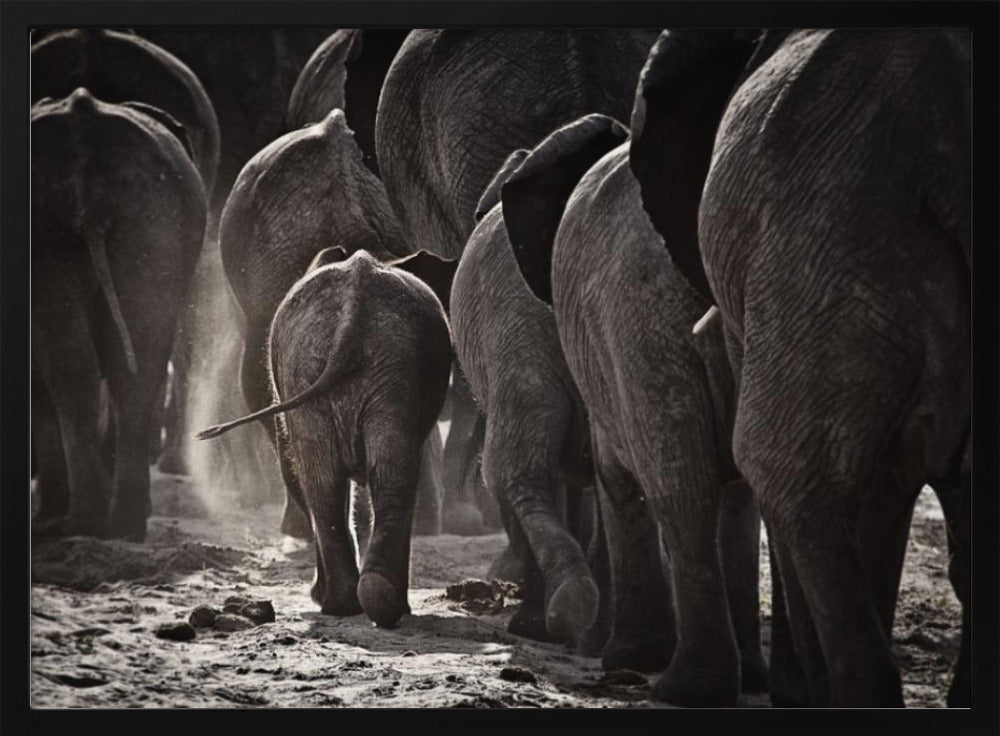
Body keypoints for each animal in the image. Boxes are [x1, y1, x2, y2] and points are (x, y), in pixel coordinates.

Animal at [197, 248, 453, 627]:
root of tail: (353, 309)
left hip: (352, 365)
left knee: (332, 480)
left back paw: (349, 602)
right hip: (355, 364)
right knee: (366, 476)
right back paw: (365, 602)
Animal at [504, 113, 766, 706]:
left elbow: (615, 477)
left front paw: (622, 656)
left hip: (639, 325)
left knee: (680, 485)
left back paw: (681, 684)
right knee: (731, 488)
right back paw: (735, 679)